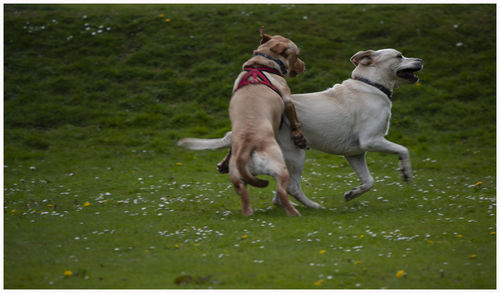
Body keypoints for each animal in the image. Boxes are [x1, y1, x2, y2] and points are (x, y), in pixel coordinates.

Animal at [179, 48, 422, 208]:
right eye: (399, 56)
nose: (420, 59)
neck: (372, 85)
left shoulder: (355, 153)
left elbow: (368, 181)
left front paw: (352, 194)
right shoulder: (371, 140)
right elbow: (403, 150)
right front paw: (406, 172)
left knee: (274, 183)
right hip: (296, 154)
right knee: (291, 186)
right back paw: (313, 206)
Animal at [229, 28, 306, 216]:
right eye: (297, 55)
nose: (304, 64)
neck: (261, 64)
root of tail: (246, 147)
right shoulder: (287, 100)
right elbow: (295, 121)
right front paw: (298, 135)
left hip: (236, 175)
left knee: (243, 192)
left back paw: (248, 212)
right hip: (280, 166)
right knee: (281, 190)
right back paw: (293, 212)